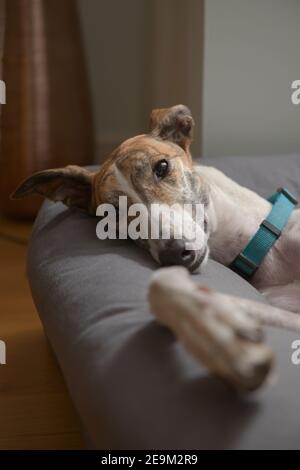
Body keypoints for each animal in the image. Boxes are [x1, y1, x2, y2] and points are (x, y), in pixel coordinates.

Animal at [12, 104, 300, 392]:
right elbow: (161, 285)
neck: (262, 244)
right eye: (111, 215)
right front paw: (224, 345)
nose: (174, 253)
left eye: (162, 167)